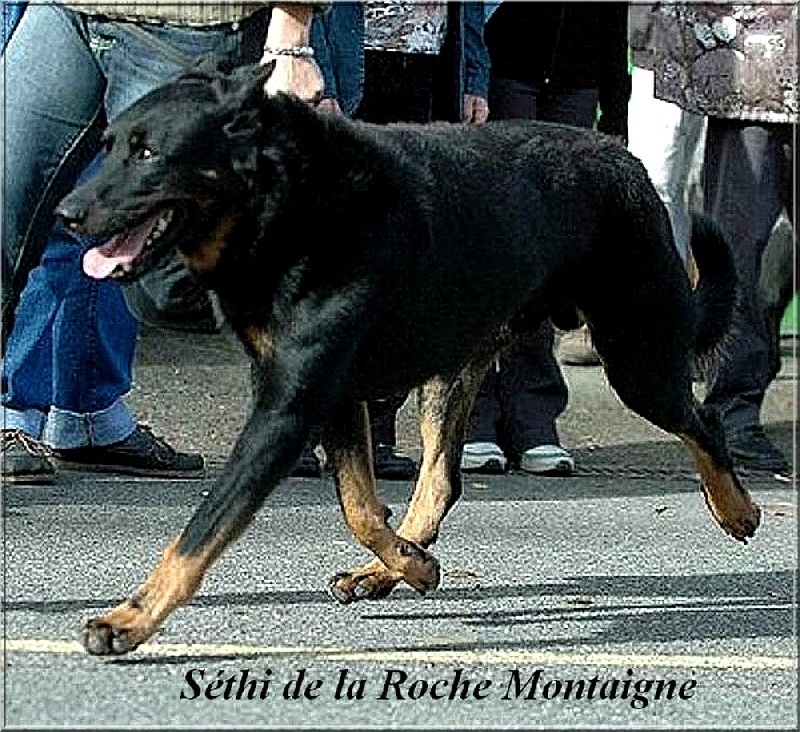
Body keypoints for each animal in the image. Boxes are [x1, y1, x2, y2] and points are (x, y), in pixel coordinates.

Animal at [59, 64, 760, 656]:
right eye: (109, 144)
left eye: (147, 153)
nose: (66, 213)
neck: (289, 206)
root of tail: (623, 155)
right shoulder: (331, 398)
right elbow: (360, 506)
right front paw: (410, 565)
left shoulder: (289, 408)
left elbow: (202, 529)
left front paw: (129, 619)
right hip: (459, 366)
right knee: (440, 482)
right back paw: (385, 570)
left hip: (637, 357)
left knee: (704, 422)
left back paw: (738, 509)